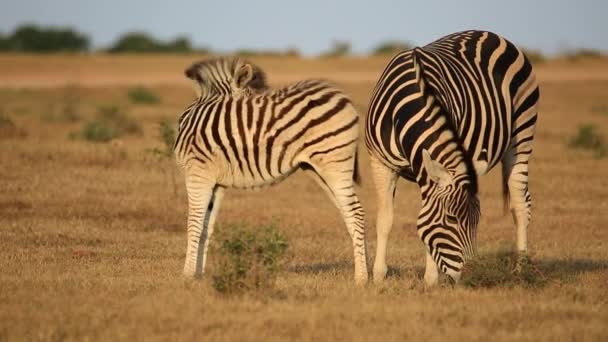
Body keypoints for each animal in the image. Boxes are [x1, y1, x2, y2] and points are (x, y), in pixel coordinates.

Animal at [173, 57, 368, 284]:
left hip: (335, 162)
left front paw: (187, 275)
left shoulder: (197, 173)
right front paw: (199, 274)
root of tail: (341, 95)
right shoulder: (216, 182)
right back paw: (368, 268)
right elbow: (206, 225)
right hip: (318, 169)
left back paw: (361, 278)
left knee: (355, 211)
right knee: (349, 213)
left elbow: (194, 222)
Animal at [366, 30, 540, 284]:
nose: (470, 275)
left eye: (476, 221)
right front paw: (378, 275)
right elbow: (385, 218)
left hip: (522, 136)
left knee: (520, 205)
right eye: (450, 219)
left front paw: (430, 279)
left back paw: (520, 269)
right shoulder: (381, 162)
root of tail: (493, 35)